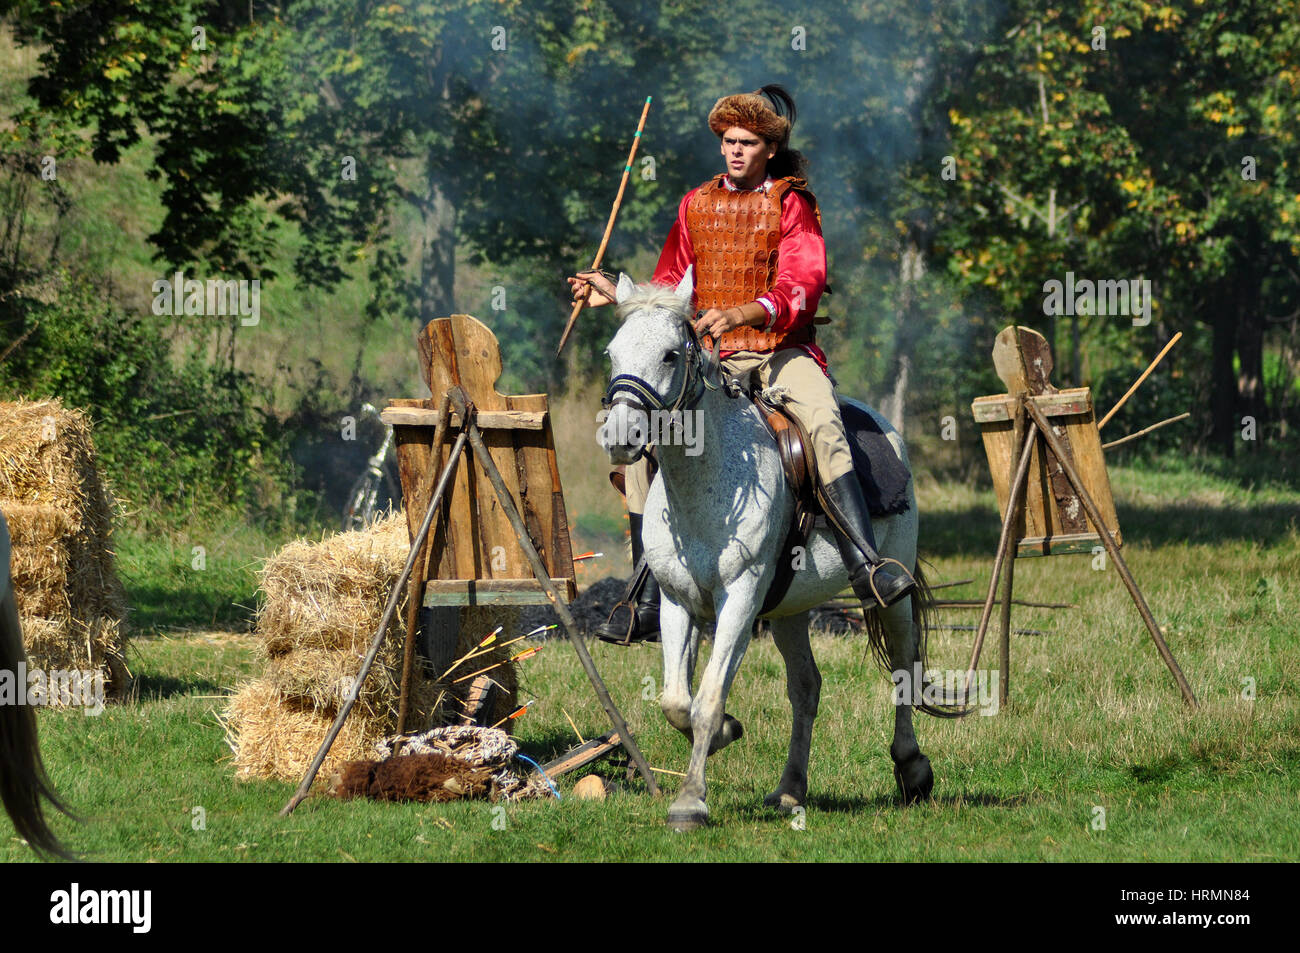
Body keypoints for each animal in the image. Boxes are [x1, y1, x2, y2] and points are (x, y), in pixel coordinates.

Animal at [598, 265, 967, 826]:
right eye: (613, 352)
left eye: (669, 354)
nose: (620, 437)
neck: (707, 484)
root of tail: (884, 428)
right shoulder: (678, 602)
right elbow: (676, 701)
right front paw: (726, 735)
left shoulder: (740, 597)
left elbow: (707, 699)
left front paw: (690, 801)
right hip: (791, 608)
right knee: (806, 687)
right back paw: (791, 788)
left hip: (892, 590)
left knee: (903, 664)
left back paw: (912, 770)